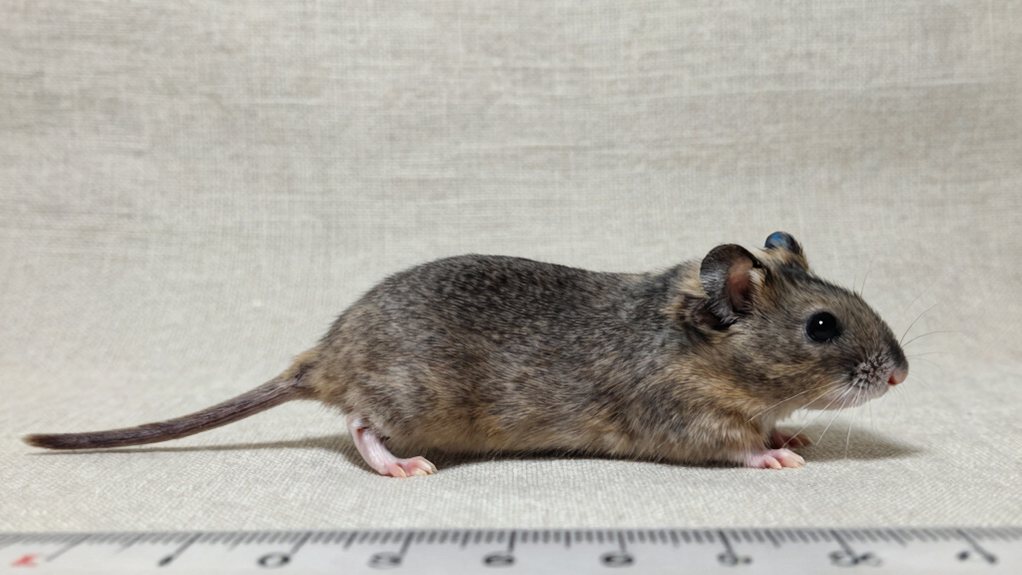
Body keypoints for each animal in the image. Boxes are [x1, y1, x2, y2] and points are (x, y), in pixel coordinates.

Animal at [24, 232, 909, 476]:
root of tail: (321, 357)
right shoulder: (683, 417)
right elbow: (733, 445)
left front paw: (790, 430)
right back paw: (395, 463)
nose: (903, 371)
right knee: (359, 424)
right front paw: (774, 453)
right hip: (412, 401)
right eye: (823, 326)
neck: (689, 332)